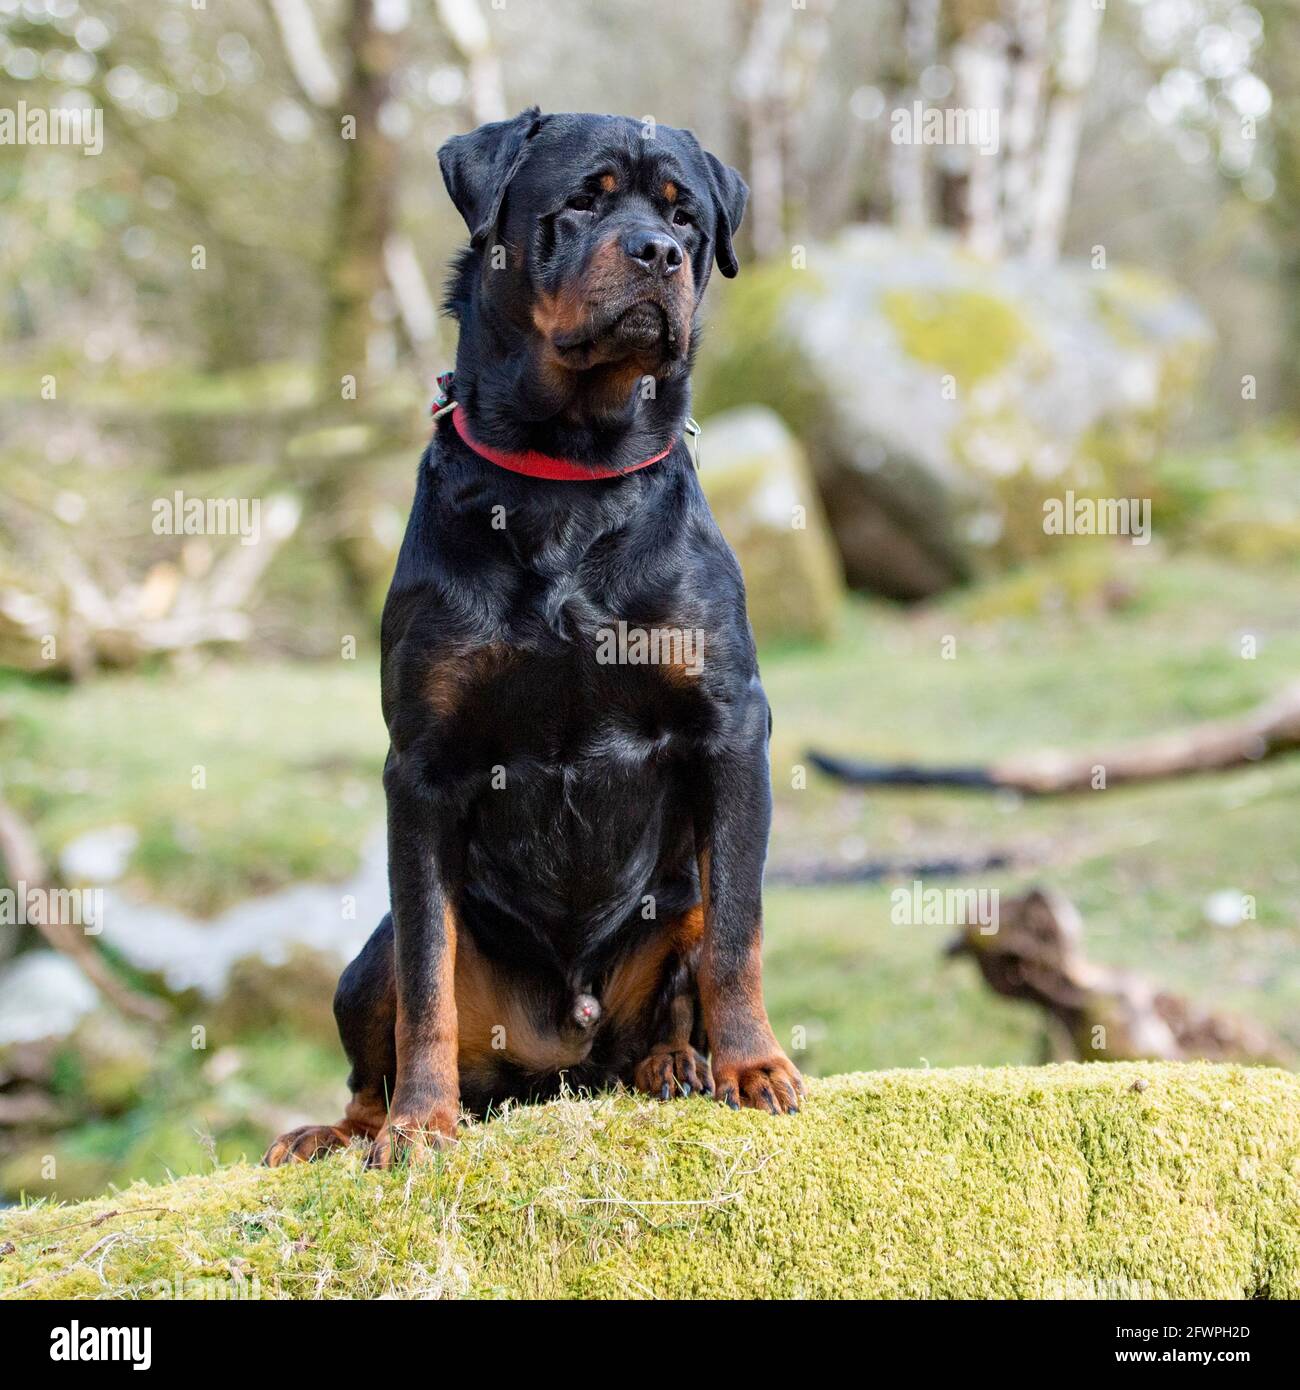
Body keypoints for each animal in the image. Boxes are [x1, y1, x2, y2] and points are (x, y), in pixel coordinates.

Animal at [265, 111, 800, 1173]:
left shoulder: (731, 729)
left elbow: (737, 933)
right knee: (379, 1026)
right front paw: (418, 1124)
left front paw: (754, 1065)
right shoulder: (422, 766)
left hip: (669, 901)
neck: (569, 475)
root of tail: (559, 1056)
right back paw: (342, 1130)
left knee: (677, 975)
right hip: (365, 962)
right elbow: (427, 975)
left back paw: (675, 1065)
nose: (659, 253)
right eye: (583, 201)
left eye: (687, 216)